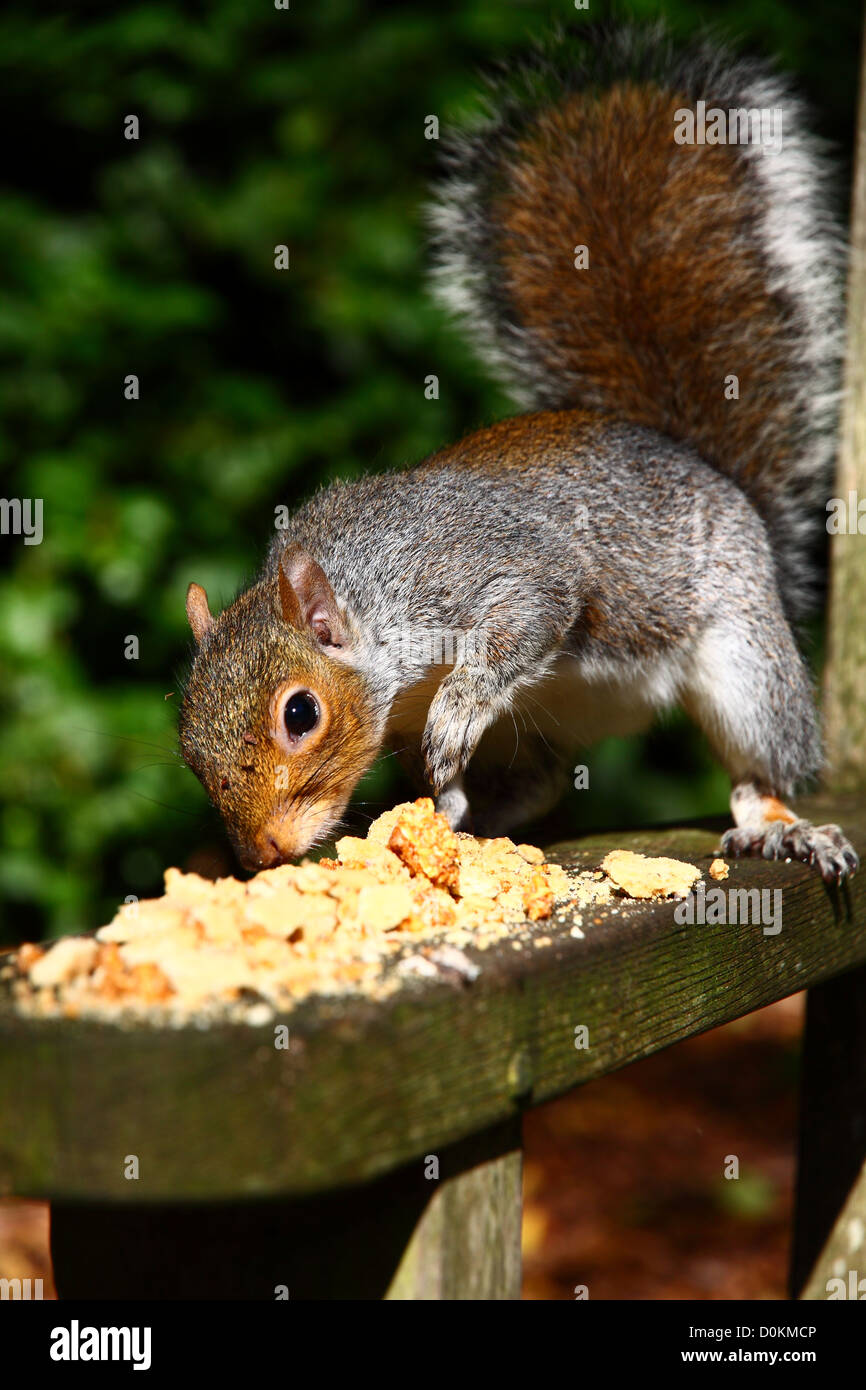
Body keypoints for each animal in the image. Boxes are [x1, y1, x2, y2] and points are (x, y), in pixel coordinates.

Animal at [179, 22, 859, 883]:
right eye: (187, 743)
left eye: (301, 712)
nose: (262, 853)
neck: (369, 597)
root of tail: (705, 469)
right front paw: (431, 820)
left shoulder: (490, 568)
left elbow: (527, 615)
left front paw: (459, 706)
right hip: (533, 731)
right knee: (536, 785)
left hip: (743, 656)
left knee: (763, 763)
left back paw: (779, 823)